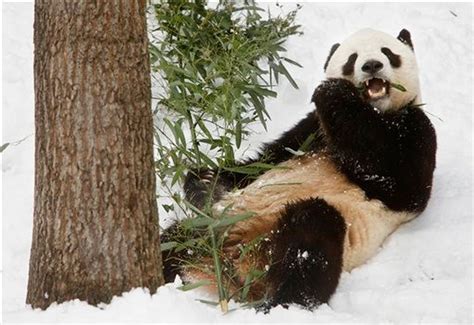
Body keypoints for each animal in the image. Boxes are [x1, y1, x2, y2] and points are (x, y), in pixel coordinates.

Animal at [162, 27, 436, 308]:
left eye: (388, 53)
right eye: (352, 59)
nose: (371, 66)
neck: (374, 111)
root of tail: (236, 267)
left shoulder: (415, 127)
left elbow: (400, 182)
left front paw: (333, 93)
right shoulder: (310, 131)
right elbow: (263, 160)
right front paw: (205, 181)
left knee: (309, 236)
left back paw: (282, 301)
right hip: (212, 231)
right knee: (174, 241)